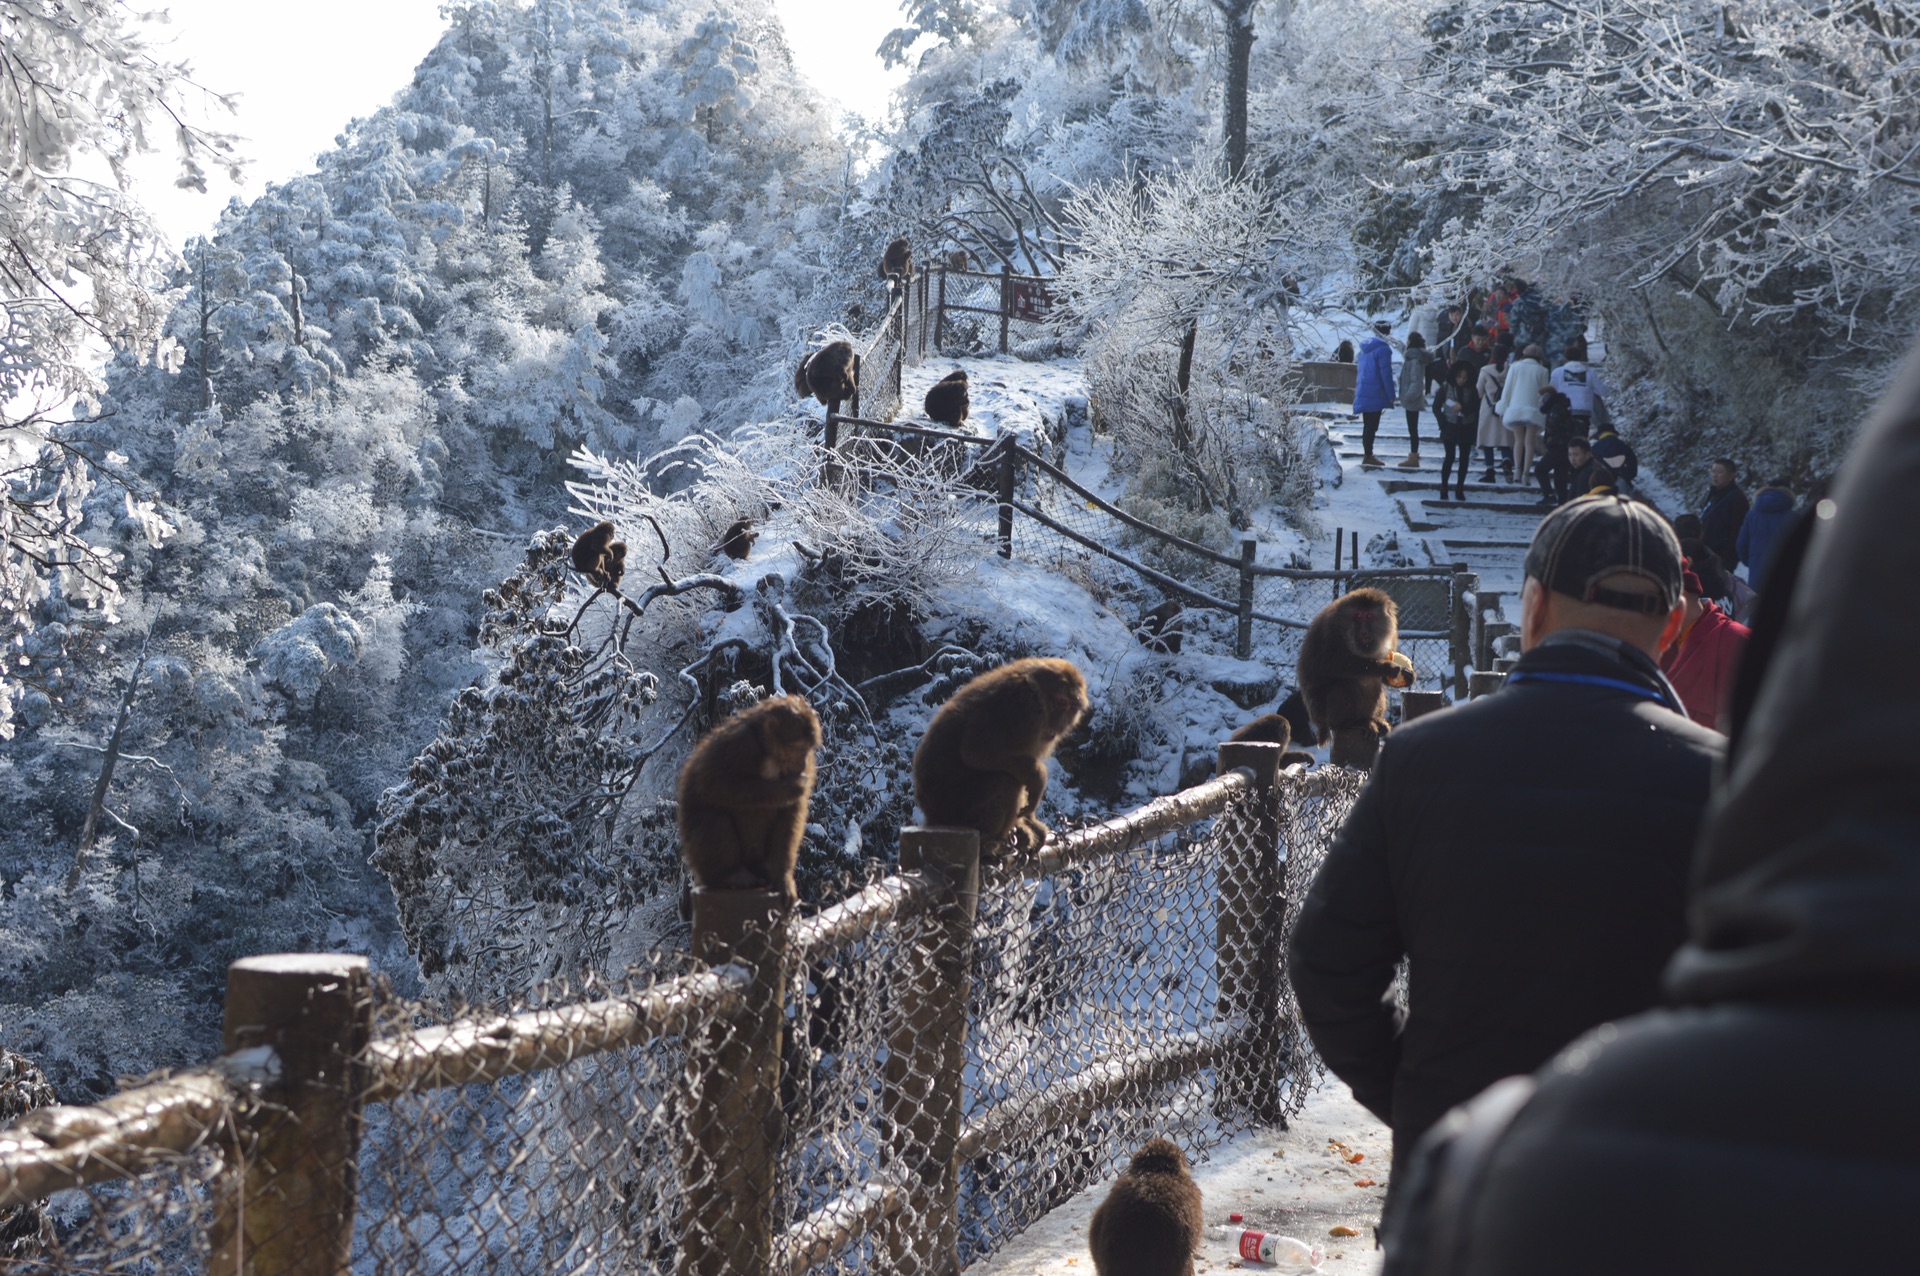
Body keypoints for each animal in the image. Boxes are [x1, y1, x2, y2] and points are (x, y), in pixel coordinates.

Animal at [679, 690, 821, 901]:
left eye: (808, 749)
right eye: (798, 748)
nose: (802, 763)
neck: (769, 751)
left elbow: (791, 812)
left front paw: (782, 878)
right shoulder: (740, 743)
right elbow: (711, 783)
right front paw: (786, 788)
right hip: (703, 863)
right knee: (713, 812)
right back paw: (731, 875)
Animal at [910, 656, 1090, 855]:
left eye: (1072, 707)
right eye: (1062, 702)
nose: (1061, 724)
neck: (1038, 694)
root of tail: (931, 815)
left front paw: (1030, 820)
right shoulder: (1021, 707)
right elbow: (975, 752)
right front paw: (1038, 777)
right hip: (953, 810)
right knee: (1004, 781)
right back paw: (989, 843)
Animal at [1297, 587, 1420, 767]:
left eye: (1368, 616)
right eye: (1358, 616)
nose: (1363, 630)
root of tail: (1321, 725)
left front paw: (1407, 676)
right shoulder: (1331, 631)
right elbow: (1332, 665)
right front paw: (1386, 667)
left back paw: (1375, 720)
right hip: (1328, 715)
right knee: (1343, 685)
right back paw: (1352, 723)